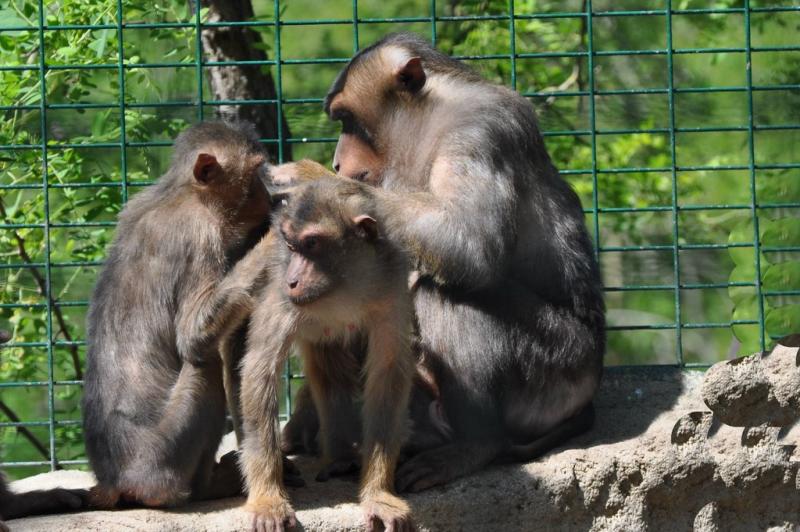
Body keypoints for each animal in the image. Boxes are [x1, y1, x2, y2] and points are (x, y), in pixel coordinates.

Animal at [82, 121, 279, 509]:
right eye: (255, 172)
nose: (269, 195)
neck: (183, 192)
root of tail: (116, 482)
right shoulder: (200, 236)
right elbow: (193, 336)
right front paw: (274, 235)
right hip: (165, 454)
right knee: (205, 363)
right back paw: (207, 486)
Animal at [239, 177, 415, 532]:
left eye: (312, 244)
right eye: (291, 246)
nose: (293, 279)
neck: (343, 287)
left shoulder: (391, 283)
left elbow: (388, 375)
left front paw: (379, 493)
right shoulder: (281, 294)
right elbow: (260, 372)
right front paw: (267, 500)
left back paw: (341, 458)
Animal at [297, 32, 605, 493]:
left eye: (347, 121)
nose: (336, 160)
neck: (428, 123)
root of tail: (587, 396)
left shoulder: (478, 133)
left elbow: (471, 242)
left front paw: (320, 186)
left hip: (559, 375)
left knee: (447, 295)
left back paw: (475, 444)